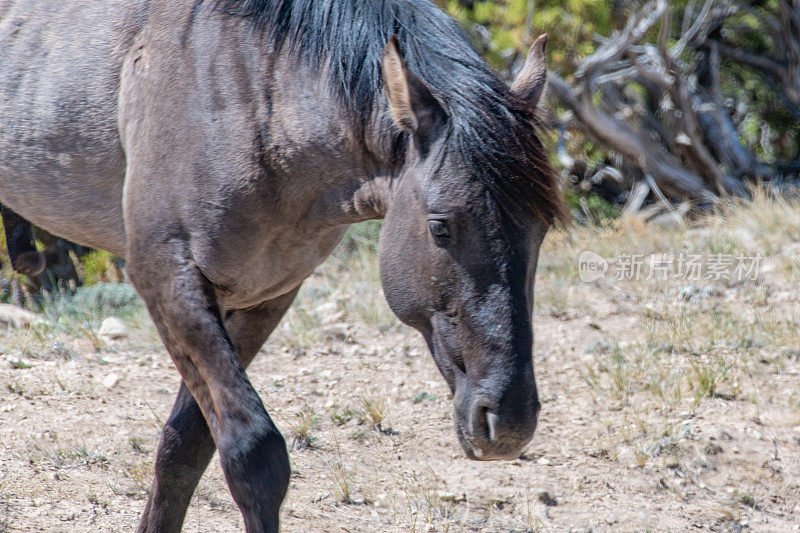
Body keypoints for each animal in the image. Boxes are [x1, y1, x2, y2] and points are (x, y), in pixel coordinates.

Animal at [0, 2, 564, 528]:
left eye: (540, 231)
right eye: (441, 227)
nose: (509, 422)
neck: (245, 89)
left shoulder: (263, 296)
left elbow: (186, 447)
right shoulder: (167, 279)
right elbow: (254, 455)